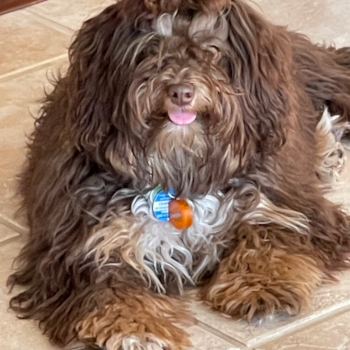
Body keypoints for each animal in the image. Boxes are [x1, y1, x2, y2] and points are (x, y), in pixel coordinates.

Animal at [7, 0, 350, 348]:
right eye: (149, 50)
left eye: (211, 51)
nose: (181, 92)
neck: (180, 170)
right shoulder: (85, 246)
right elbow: (109, 289)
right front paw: (133, 329)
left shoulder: (285, 202)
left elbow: (268, 234)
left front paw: (262, 286)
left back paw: (327, 153)